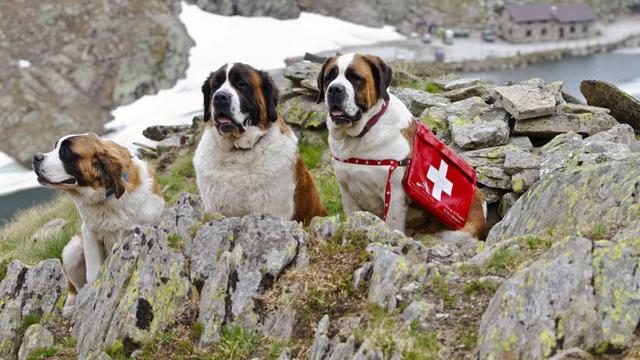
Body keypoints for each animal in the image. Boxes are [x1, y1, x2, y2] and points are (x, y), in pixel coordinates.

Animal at [32, 134, 165, 316]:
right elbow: (93, 273)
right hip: (73, 250)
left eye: (66, 152)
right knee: (74, 288)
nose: (36, 157)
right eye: (55, 147)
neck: (108, 196)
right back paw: (72, 305)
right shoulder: (88, 232)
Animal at [318, 53, 488, 238]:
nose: (335, 89)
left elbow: (392, 223)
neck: (363, 132)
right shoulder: (347, 191)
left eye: (355, 78)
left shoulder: (394, 192)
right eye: (329, 77)